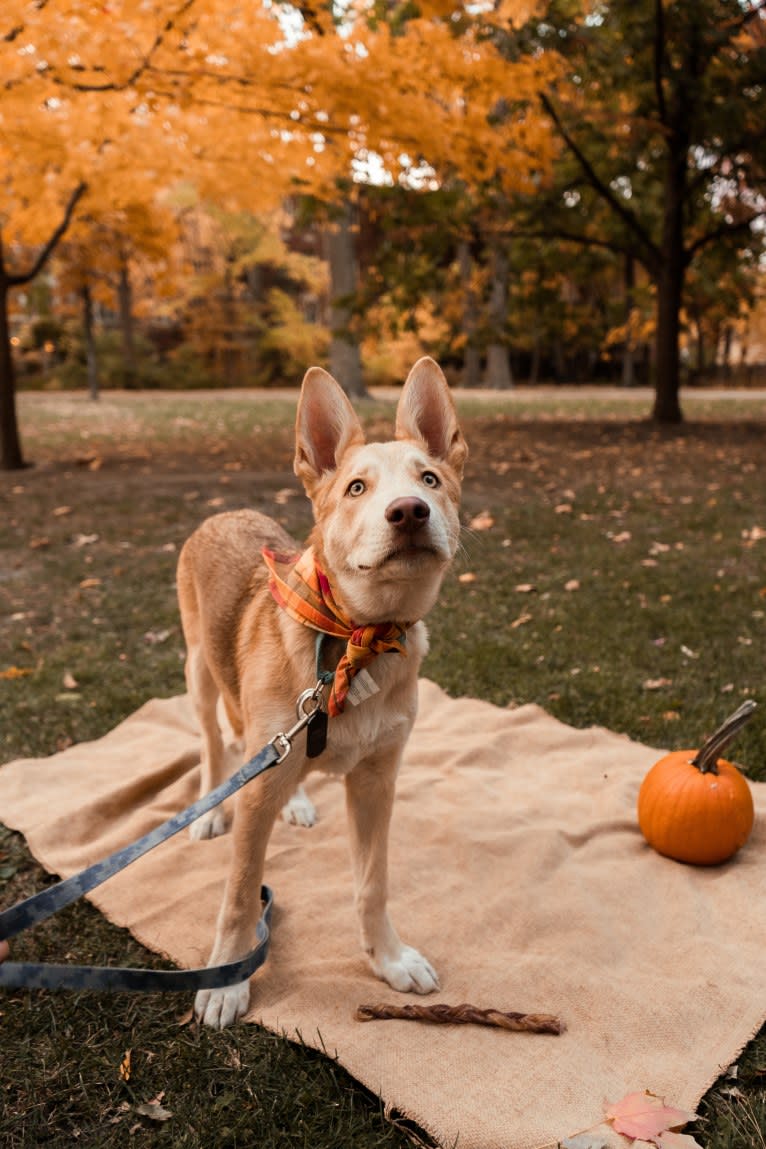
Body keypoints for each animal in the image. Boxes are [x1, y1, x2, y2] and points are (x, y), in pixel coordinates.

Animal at [178, 353, 468, 1029]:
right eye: (356, 489)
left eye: (430, 479)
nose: (410, 511)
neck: (358, 637)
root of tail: (225, 511)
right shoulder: (258, 792)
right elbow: (240, 892)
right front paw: (229, 979)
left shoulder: (376, 780)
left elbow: (372, 884)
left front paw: (388, 959)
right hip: (199, 670)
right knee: (214, 741)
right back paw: (213, 802)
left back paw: (299, 800)